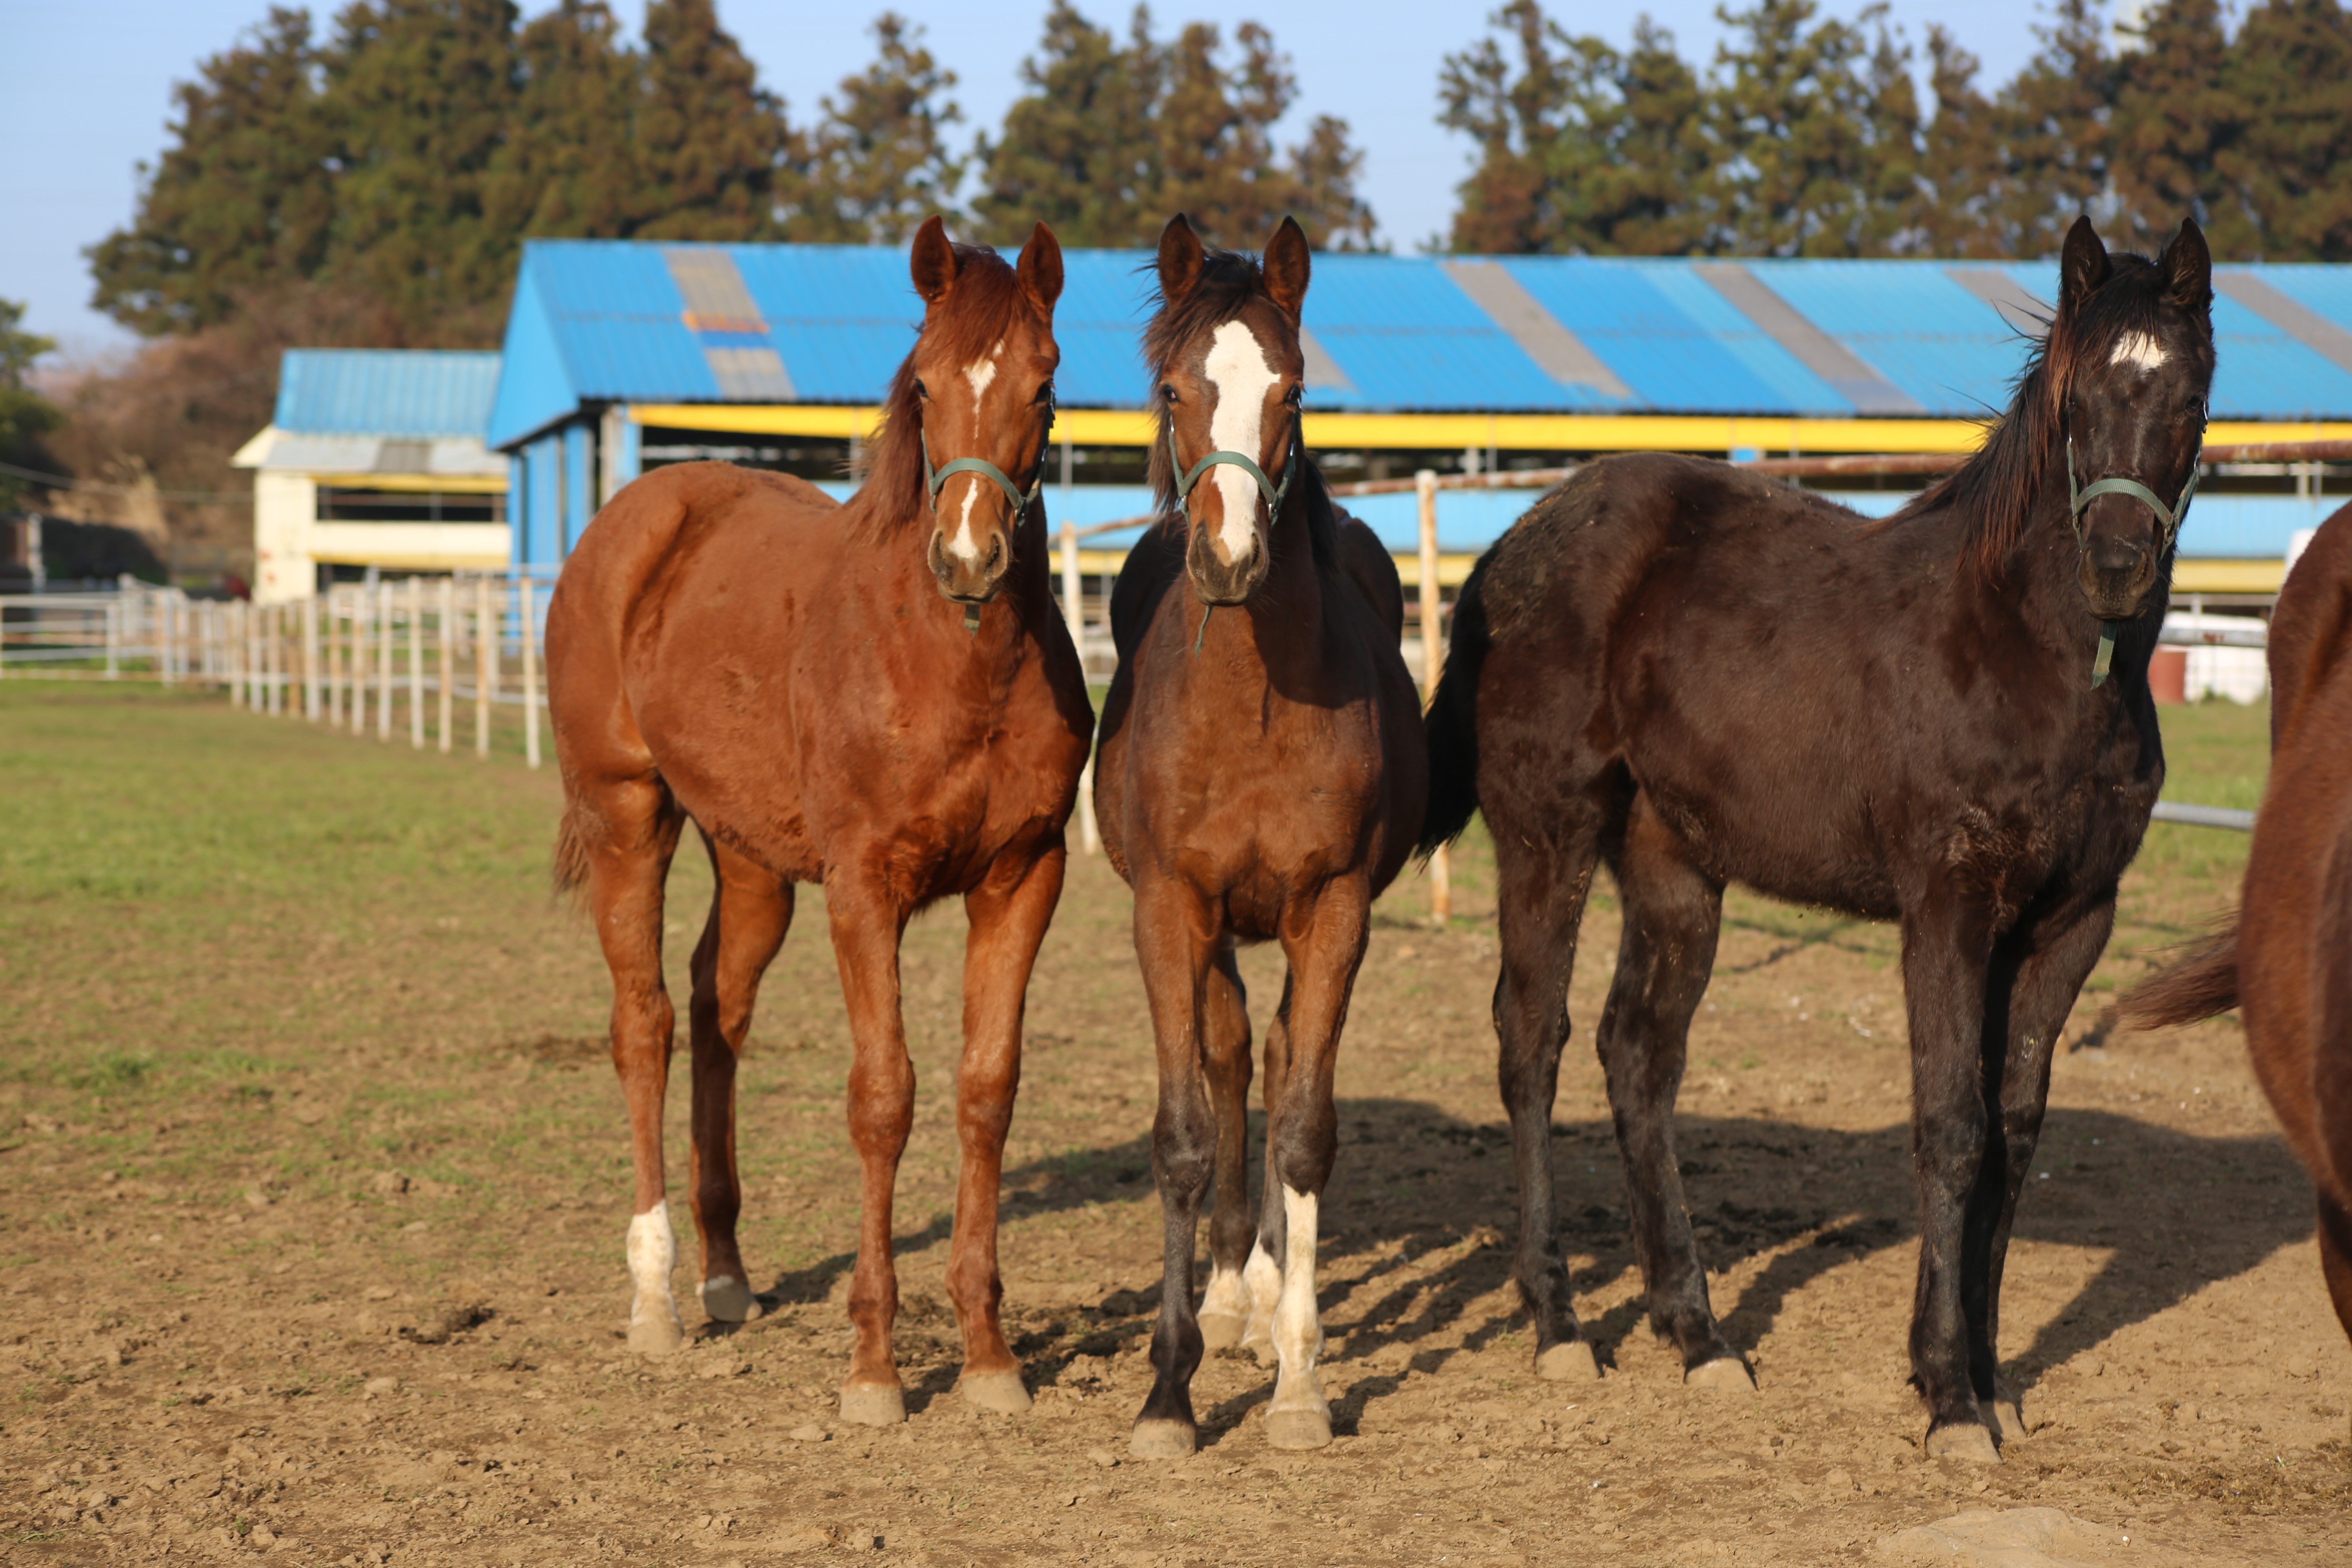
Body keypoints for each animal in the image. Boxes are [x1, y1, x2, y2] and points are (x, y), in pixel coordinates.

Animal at [546, 221, 1096, 1439]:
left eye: (1044, 388)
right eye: (923, 385)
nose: (969, 559)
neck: (950, 663)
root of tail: (637, 517)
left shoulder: (1024, 879)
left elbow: (985, 1091)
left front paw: (988, 1356)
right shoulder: (863, 888)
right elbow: (883, 1099)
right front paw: (875, 1370)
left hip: (750, 863)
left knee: (716, 1012)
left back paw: (724, 1274)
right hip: (628, 817)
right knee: (645, 1022)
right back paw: (656, 1300)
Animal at [1091, 217, 1421, 1457]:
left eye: (1294, 390)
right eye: (1174, 388)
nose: (1229, 561)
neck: (1251, 704)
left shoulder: (1334, 906)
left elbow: (1305, 1126)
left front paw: (1298, 1384)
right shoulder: (1169, 906)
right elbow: (1188, 1128)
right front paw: (1169, 1392)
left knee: (1272, 1066)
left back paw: (1266, 1294)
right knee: (1233, 1057)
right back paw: (1231, 1296)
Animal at [1421, 217, 2211, 1457]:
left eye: (2186, 394)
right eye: (2076, 398)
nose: (2117, 564)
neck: (2031, 656)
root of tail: (1510, 548)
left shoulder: (2070, 922)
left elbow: (2014, 1131)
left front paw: (1988, 1377)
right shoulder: (1946, 905)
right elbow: (1950, 1126)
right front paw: (1945, 1397)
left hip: (1673, 866)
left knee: (1637, 1054)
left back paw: (1696, 1334)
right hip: (1548, 832)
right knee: (1530, 1040)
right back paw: (1557, 1326)